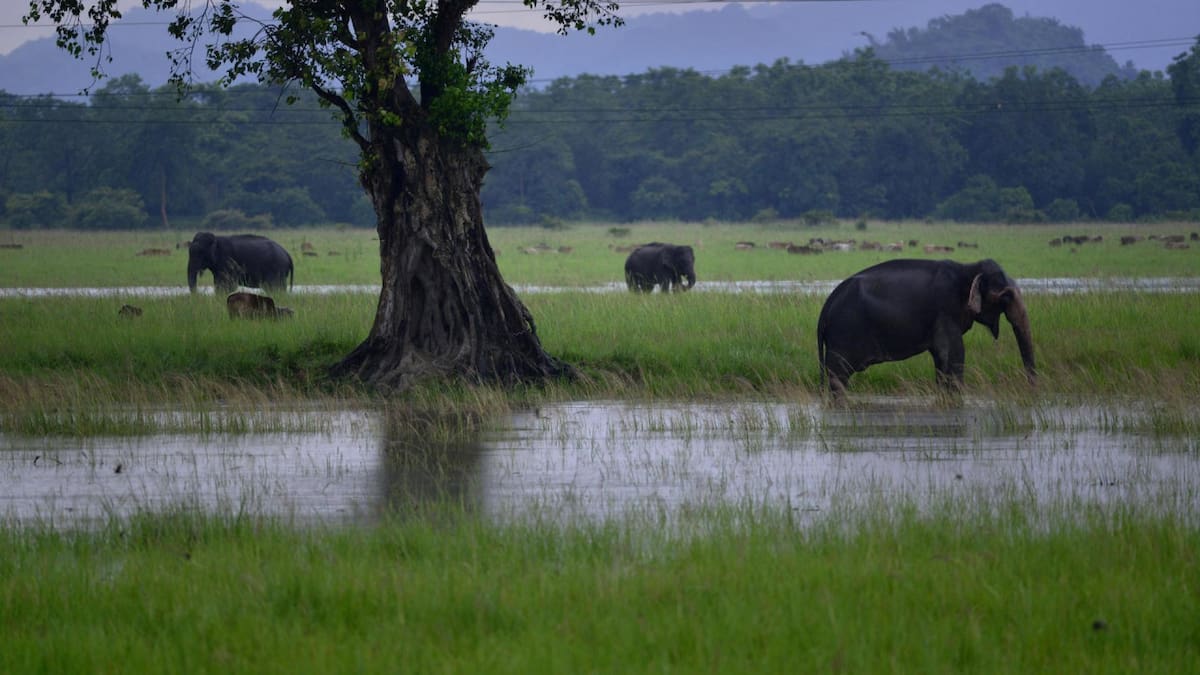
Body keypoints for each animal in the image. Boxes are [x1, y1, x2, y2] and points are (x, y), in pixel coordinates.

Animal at [817, 258, 1035, 397]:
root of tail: (826, 307)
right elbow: (955, 354)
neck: (968, 269)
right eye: (1005, 297)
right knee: (838, 378)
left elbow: (941, 359)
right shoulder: (945, 310)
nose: (1031, 390)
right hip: (844, 333)